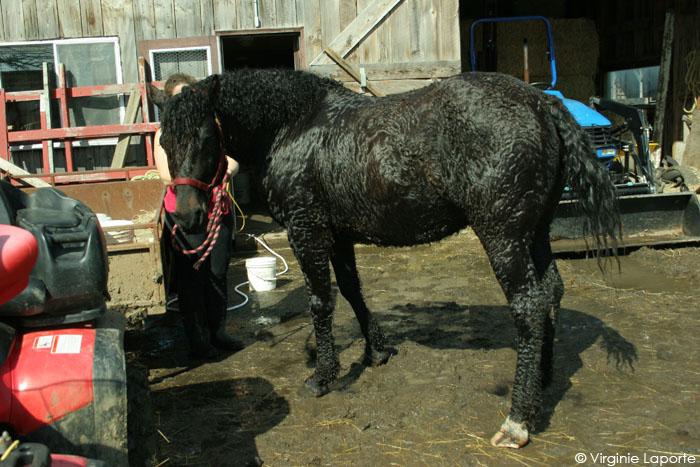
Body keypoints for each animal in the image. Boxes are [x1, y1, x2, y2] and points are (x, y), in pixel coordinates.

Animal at [156, 69, 620, 450]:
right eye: (163, 142)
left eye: (205, 137)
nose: (187, 216)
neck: (294, 127)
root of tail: (541, 102)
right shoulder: (338, 235)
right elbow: (352, 291)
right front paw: (376, 351)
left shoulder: (308, 231)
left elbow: (321, 302)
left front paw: (322, 376)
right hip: (535, 232)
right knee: (551, 292)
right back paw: (542, 380)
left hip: (503, 236)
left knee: (528, 305)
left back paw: (518, 419)